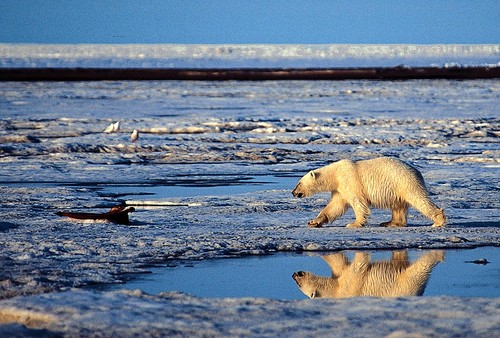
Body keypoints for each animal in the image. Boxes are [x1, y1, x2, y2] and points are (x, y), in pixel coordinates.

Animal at [292, 158, 448, 227]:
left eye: (299, 183)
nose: (293, 192)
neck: (335, 174)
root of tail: (417, 172)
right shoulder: (339, 189)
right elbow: (335, 206)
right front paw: (314, 221)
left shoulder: (350, 181)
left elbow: (358, 203)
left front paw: (354, 224)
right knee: (398, 206)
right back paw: (390, 223)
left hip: (404, 182)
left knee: (419, 199)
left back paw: (438, 221)